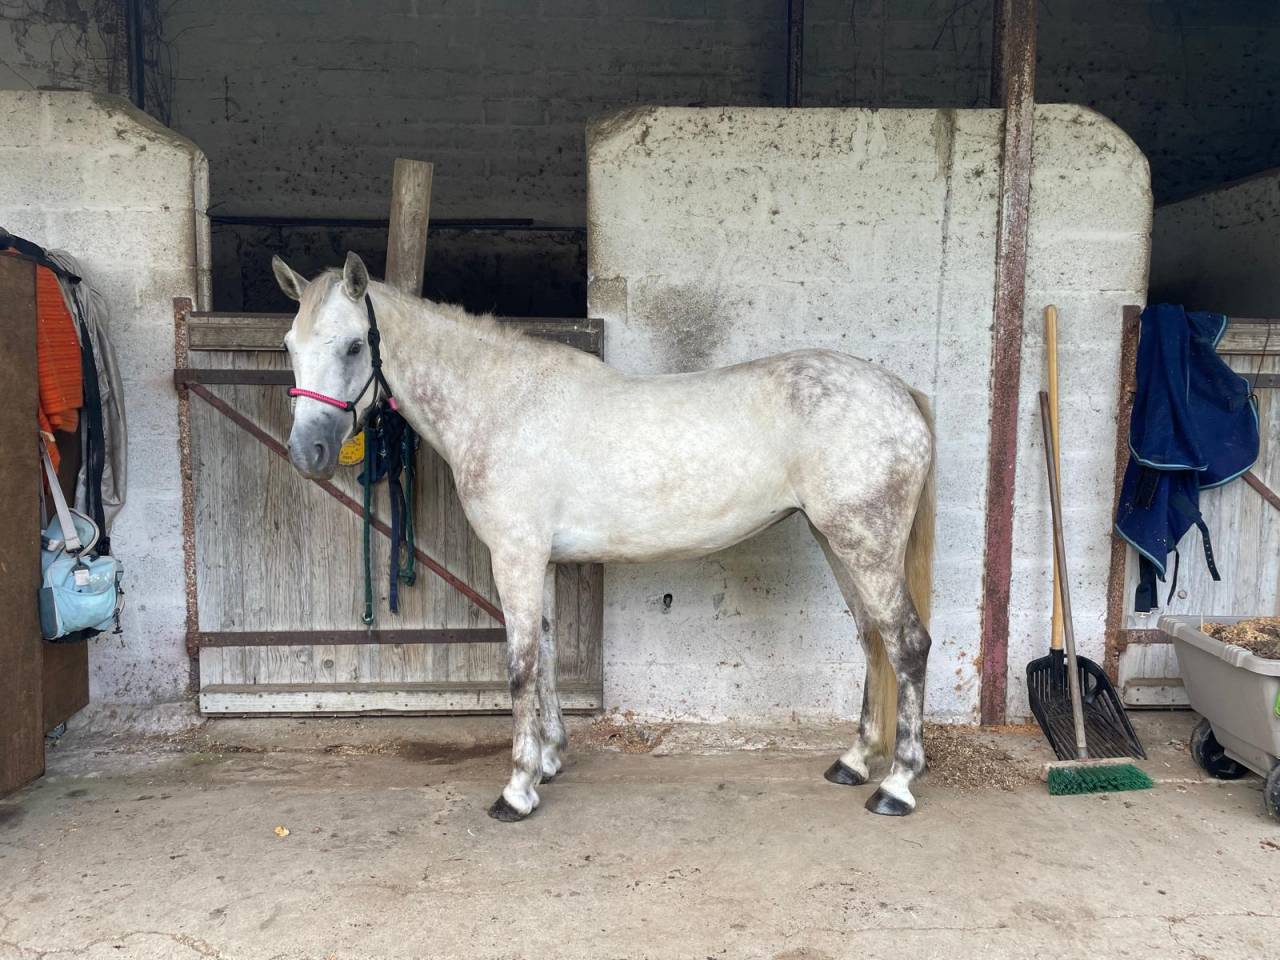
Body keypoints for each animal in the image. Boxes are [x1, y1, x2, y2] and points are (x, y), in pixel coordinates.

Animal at [273, 252, 936, 821]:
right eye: (289, 346)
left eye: (353, 345)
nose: (308, 455)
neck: (502, 405)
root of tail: (898, 392)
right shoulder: (537, 560)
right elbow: (545, 652)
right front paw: (549, 759)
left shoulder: (515, 556)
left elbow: (519, 664)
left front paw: (517, 790)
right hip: (836, 541)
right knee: (872, 639)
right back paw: (853, 762)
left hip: (864, 545)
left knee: (906, 644)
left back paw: (896, 786)